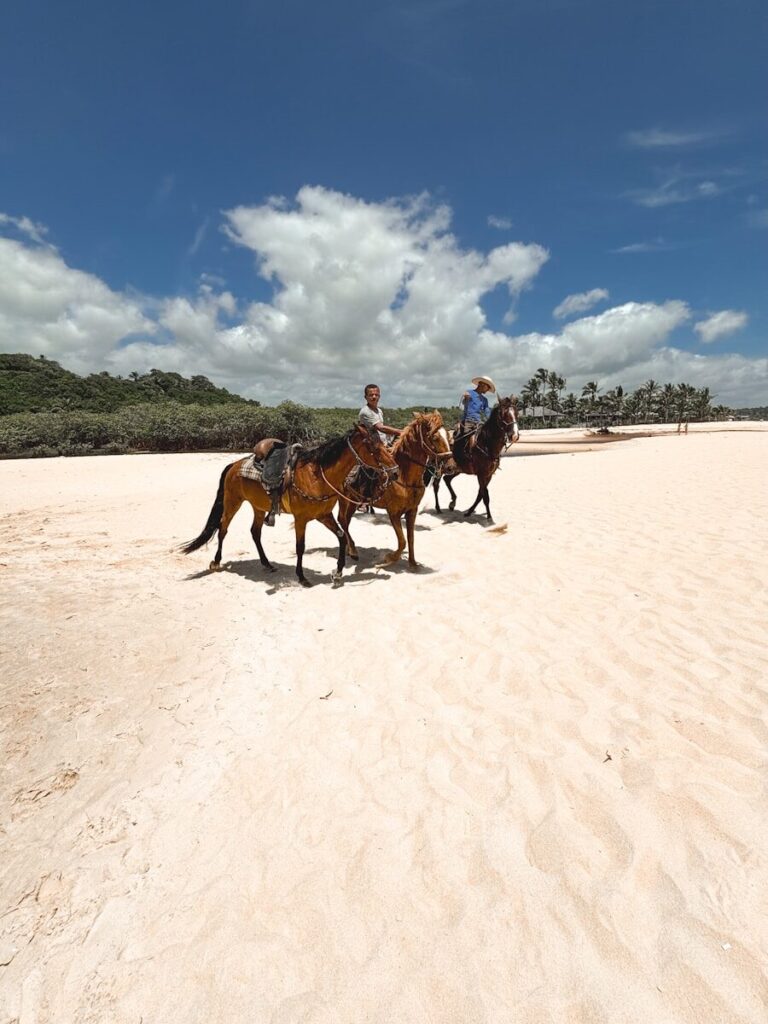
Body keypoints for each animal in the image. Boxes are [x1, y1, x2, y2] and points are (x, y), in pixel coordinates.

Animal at [180, 424, 399, 587]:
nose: (395, 472)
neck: (317, 476)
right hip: (232, 502)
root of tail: (234, 465)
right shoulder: (301, 519)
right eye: (373, 447)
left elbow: (341, 536)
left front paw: (337, 573)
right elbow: (300, 547)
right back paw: (216, 562)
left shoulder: (324, 515)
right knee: (223, 529)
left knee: (255, 532)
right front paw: (302, 577)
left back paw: (267, 564)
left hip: (258, 507)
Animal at [338, 411, 452, 568]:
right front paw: (389, 558)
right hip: (343, 499)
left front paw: (413, 563)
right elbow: (402, 541)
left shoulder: (412, 510)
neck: (404, 476)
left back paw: (350, 549)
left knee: (346, 521)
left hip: (353, 501)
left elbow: (410, 537)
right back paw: (353, 551)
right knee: (342, 520)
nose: (450, 466)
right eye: (435, 437)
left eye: (447, 436)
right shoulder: (394, 513)